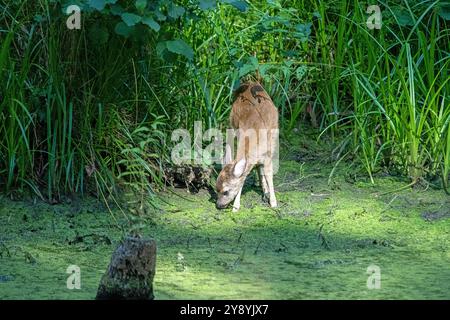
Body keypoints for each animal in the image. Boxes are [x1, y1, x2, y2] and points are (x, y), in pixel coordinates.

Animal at [215, 81, 278, 211]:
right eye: (216, 189)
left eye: (226, 191)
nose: (218, 205)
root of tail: (251, 83)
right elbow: (243, 178)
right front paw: (236, 206)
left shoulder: (268, 154)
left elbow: (269, 175)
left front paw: (273, 202)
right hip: (232, 124)